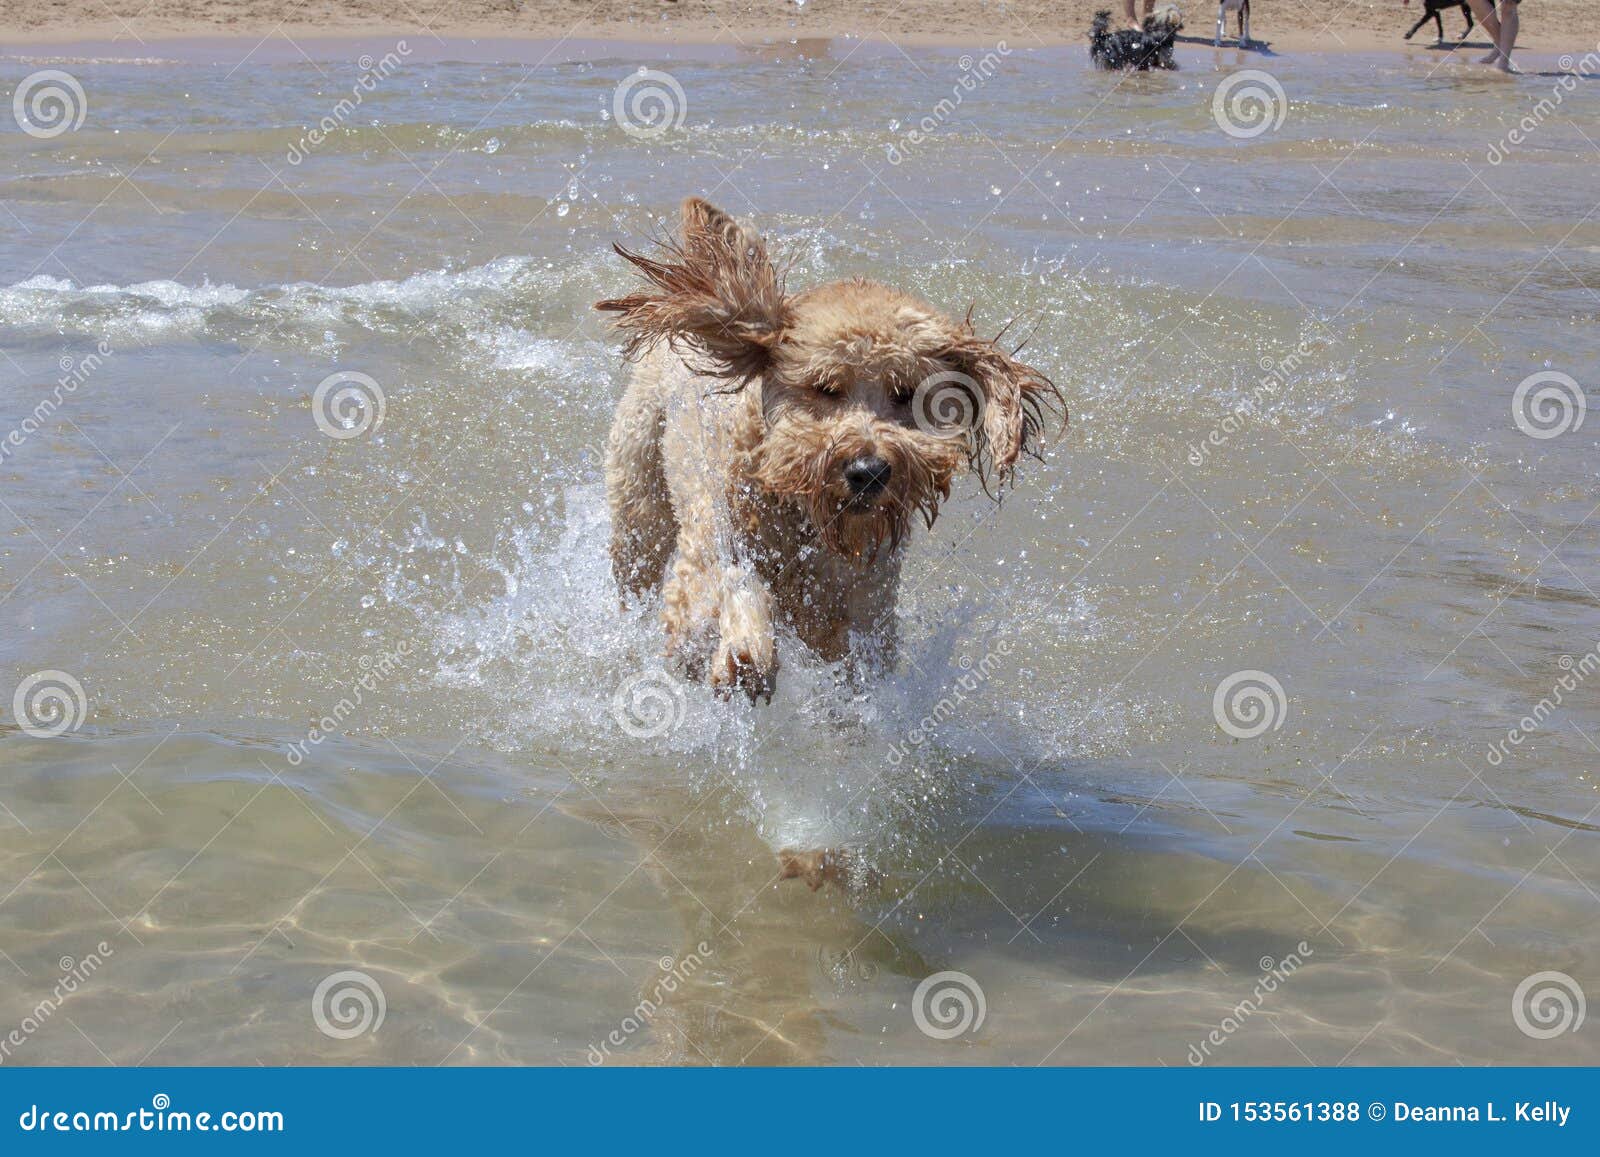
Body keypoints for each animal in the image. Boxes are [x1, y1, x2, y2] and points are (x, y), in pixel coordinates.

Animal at [601, 197, 1062, 707]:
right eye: (825, 386)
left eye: (905, 392)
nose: (868, 470)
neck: (802, 513)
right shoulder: (714, 552)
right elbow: (730, 596)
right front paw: (745, 659)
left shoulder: (864, 607)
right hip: (639, 504)